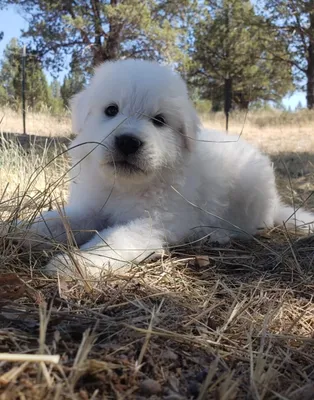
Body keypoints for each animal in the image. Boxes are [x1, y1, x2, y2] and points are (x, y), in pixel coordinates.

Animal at [23, 59, 314, 276]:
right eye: (111, 110)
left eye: (159, 120)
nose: (128, 142)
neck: (125, 186)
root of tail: (273, 206)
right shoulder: (91, 208)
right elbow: (54, 222)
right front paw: (19, 229)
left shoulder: (152, 223)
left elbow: (112, 241)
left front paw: (74, 265)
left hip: (249, 199)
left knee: (248, 227)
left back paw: (217, 235)